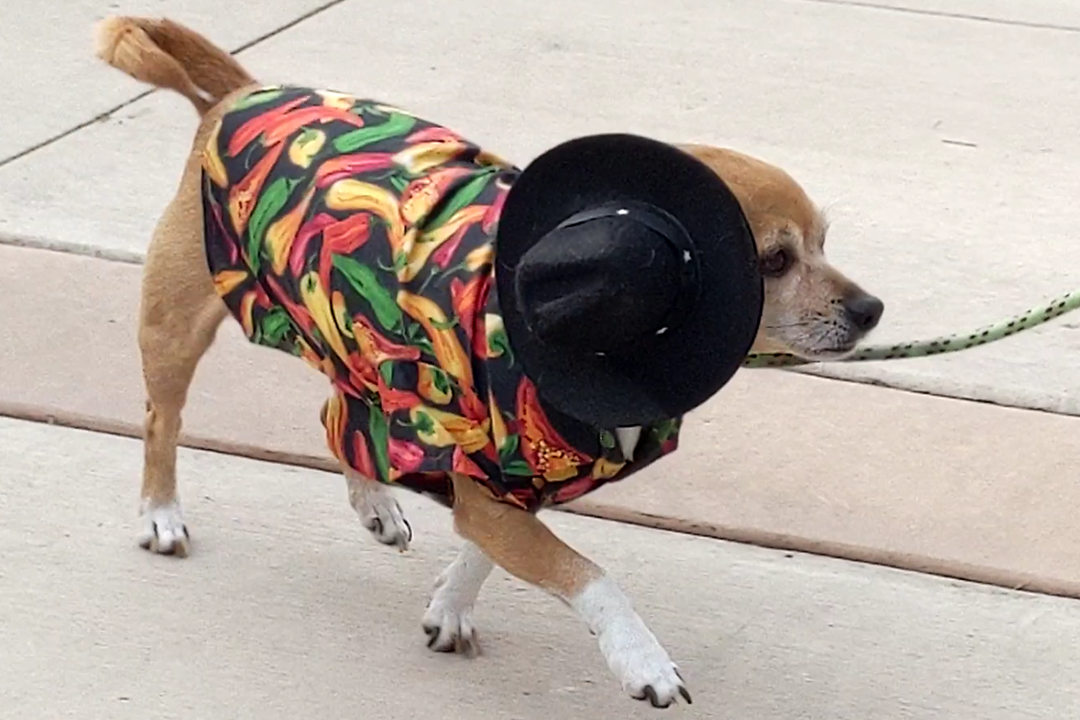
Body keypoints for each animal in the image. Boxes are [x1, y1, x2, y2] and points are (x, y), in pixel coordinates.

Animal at [97, 14, 881, 712]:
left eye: (824, 242)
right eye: (775, 261)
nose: (871, 308)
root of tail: (238, 94)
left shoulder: (502, 486)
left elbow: (485, 550)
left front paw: (450, 603)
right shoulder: (492, 488)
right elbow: (590, 576)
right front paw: (641, 659)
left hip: (363, 355)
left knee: (337, 418)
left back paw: (374, 503)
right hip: (177, 327)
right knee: (162, 421)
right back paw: (161, 513)